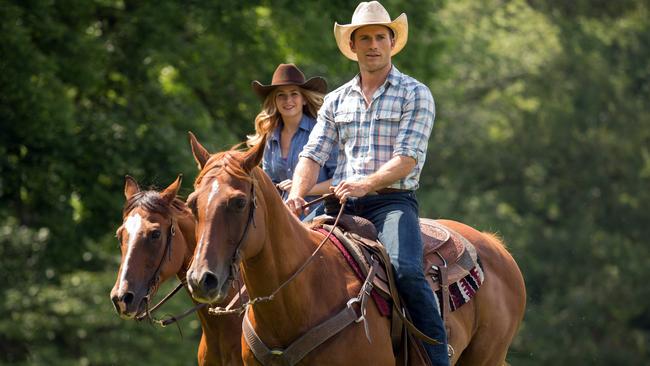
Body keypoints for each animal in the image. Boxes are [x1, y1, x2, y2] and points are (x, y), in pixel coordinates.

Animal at [184, 132, 528, 366]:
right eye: (192, 203)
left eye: (239, 202)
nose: (202, 279)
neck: (300, 297)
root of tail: (494, 245)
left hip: (486, 357)